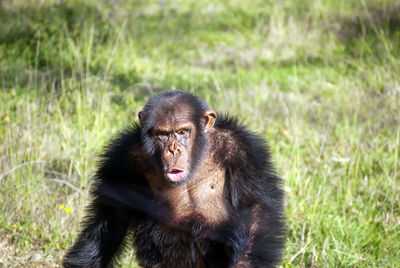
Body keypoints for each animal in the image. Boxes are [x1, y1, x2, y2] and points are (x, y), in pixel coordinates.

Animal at [63, 90, 284, 268]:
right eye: (162, 134)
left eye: (183, 131)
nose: (173, 149)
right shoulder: (121, 160)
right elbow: (111, 219)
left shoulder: (244, 151)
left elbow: (256, 209)